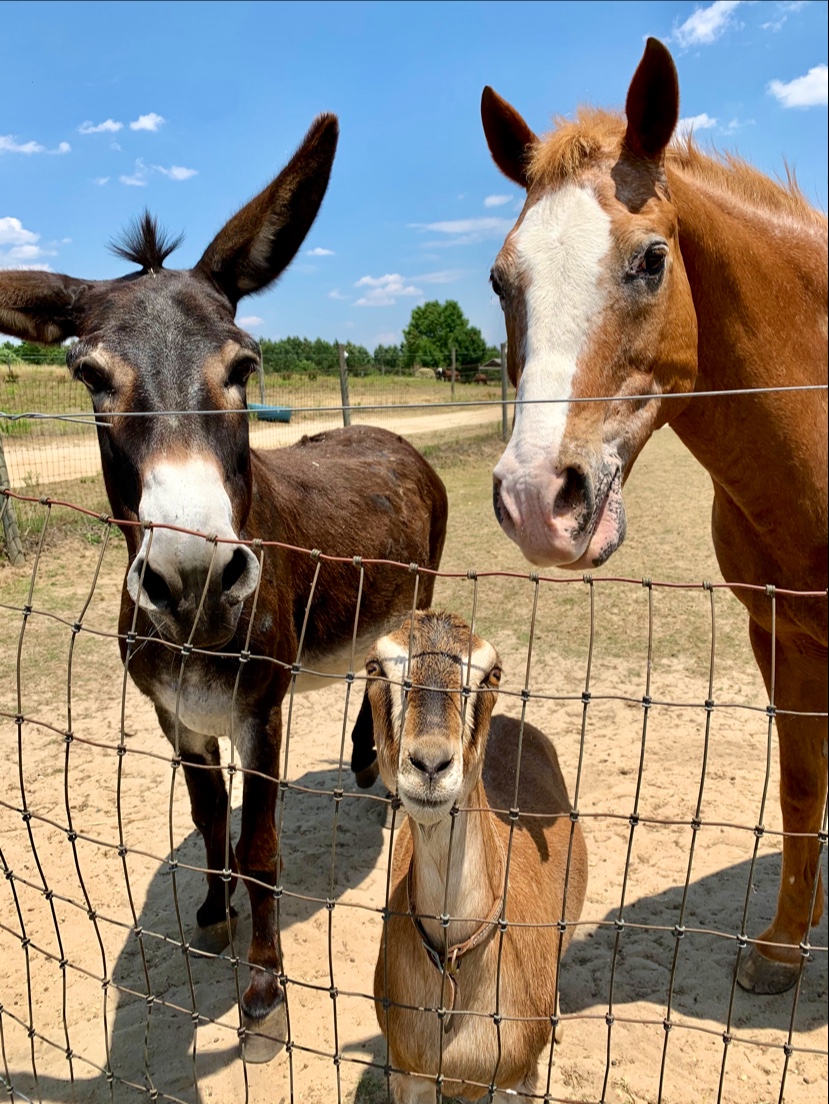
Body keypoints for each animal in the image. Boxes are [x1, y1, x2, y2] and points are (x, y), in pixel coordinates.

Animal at [0, 116, 448, 1055]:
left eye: (244, 367)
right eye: (90, 378)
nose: (194, 571)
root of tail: (385, 433)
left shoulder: (260, 713)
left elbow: (262, 846)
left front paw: (265, 991)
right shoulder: (178, 718)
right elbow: (211, 821)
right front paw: (212, 910)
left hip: (418, 591)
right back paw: (364, 756)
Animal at [483, 40, 825, 993]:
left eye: (649, 260)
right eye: (500, 280)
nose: (536, 500)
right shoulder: (779, 638)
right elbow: (800, 788)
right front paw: (781, 950)